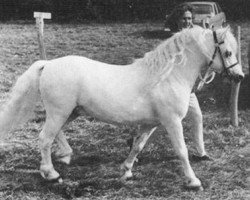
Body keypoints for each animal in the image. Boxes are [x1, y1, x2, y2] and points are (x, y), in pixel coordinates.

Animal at [0, 25, 243, 190]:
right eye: (228, 52)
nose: (239, 77)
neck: (167, 77)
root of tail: (48, 64)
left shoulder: (151, 124)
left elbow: (137, 146)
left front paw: (126, 172)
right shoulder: (172, 122)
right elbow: (181, 151)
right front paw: (193, 181)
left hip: (69, 112)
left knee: (54, 134)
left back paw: (65, 155)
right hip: (59, 112)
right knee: (44, 138)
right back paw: (51, 173)